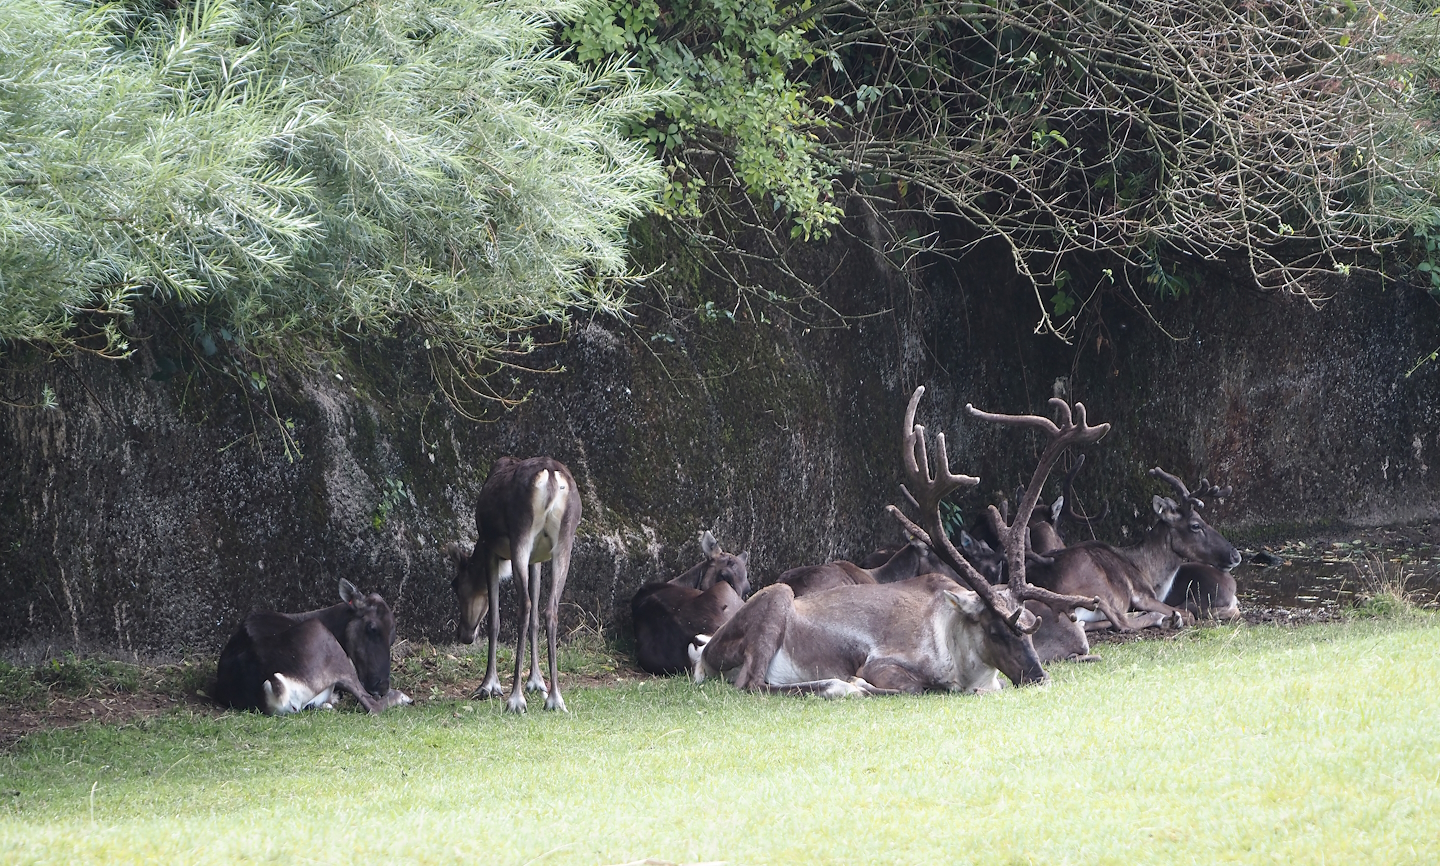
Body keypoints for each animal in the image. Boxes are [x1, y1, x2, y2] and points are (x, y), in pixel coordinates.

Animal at [214, 579, 412, 715]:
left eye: (392, 638)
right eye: (371, 628)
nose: (382, 686)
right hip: (330, 648)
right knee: (373, 706)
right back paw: (401, 697)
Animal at [446, 456, 581, 713]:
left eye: (455, 585)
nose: (463, 634)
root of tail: (550, 475)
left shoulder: (490, 547)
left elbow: (495, 619)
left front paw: (489, 685)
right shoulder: (537, 559)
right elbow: (536, 619)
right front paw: (536, 681)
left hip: (521, 532)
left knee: (525, 606)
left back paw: (515, 699)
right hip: (564, 540)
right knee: (550, 608)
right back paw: (555, 698)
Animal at [689, 386, 1105, 697]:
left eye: (1032, 624)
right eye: (996, 630)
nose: (1039, 677)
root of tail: (702, 653)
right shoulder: (884, 661)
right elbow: (914, 686)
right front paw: (860, 683)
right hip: (774, 601)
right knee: (752, 683)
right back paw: (840, 686)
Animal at [1028, 469, 1241, 631]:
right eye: (1195, 525)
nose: (1235, 555)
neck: (1148, 573)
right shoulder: (1142, 595)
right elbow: (1189, 614)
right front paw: (1171, 616)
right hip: (1097, 591)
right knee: (1121, 622)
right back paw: (1164, 617)